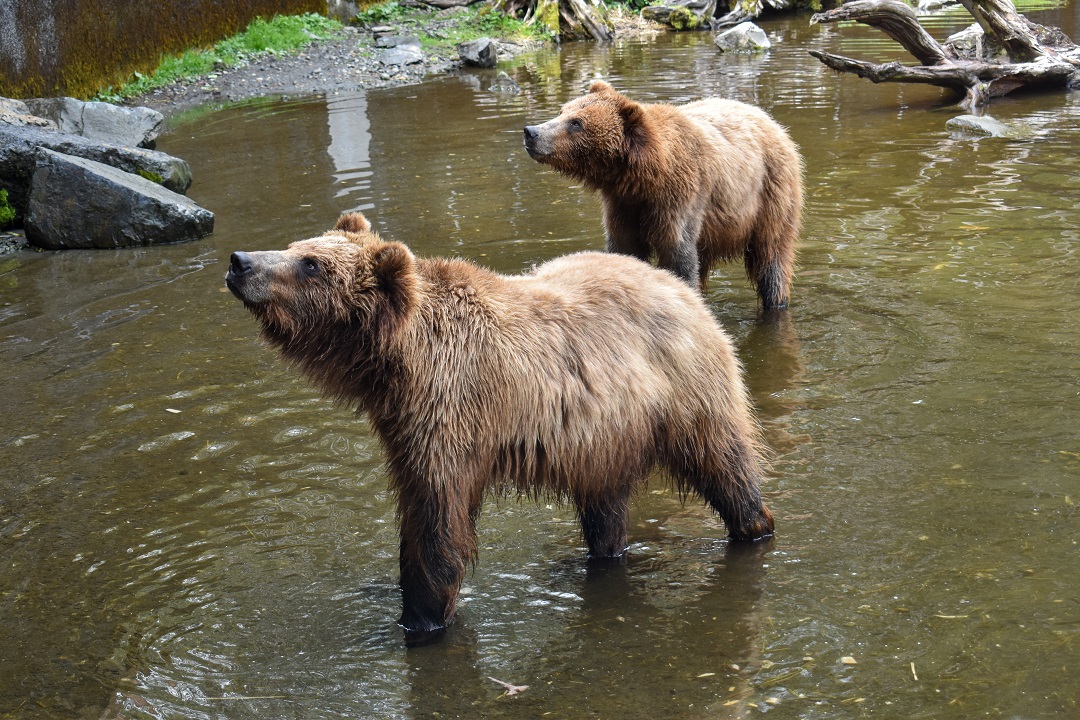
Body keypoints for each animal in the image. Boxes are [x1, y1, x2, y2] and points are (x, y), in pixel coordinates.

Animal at [225, 212, 774, 645]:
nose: (240, 261)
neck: (400, 363)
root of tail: (682, 289)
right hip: (604, 437)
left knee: (725, 465)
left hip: (684, 393)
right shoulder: (403, 424)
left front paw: (419, 620)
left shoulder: (451, 413)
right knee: (606, 506)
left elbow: (437, 521)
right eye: (297, 245)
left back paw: (753, 525)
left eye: (310, 264)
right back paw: (595, 557)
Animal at [523, 81, 803, 309]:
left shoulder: (680, 196)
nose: (531, 131)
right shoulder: (622, 205)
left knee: (772, 256)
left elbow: (678, 253)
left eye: (576, 123)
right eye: (563, 111)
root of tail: (768, 119)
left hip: (772, 192)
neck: (645, 177)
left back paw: (776, 301)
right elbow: (625, 247)